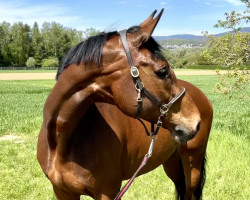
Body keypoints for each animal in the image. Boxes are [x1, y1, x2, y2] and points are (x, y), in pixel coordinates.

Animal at [37, 9, 213, 200]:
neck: (61, 144)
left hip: (193, 162)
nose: (195, 122)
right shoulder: (62, 192)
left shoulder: (107, 193)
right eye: (163, 71)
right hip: (172, 161)